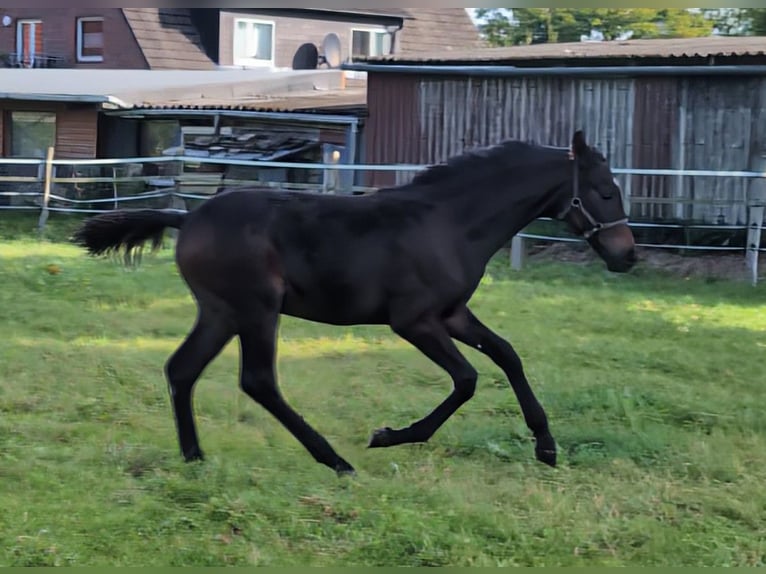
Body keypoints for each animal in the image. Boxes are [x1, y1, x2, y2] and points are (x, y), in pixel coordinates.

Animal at [73, 130, 636, 476]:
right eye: (606, 192)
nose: (627, 256)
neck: (449, 223)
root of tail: (186, 217)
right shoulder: (414, 321)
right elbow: (468, 379)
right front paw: (389, 435)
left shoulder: (452, 314)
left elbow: (507, 355)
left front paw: (546, 446)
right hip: (256, 309)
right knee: (257, 380)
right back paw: (335, 460)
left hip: (220, 312)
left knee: (183, 369)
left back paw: (195, 457)